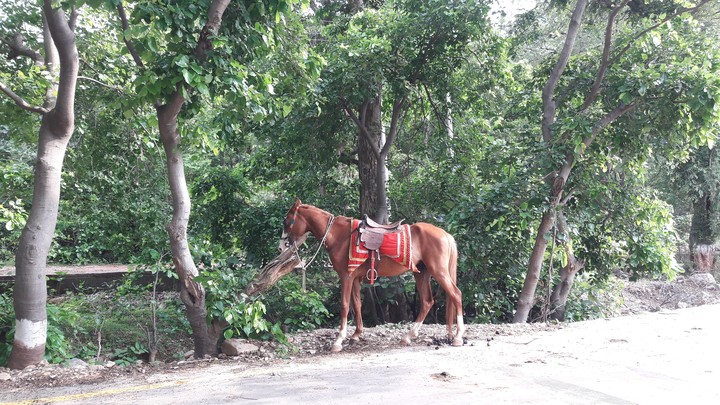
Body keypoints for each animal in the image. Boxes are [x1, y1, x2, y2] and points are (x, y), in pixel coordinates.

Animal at [265, 199, 465, 352]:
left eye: (286, 220)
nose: (280, 247)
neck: (339, 236)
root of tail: (445, 234)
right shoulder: (355, 278)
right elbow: (357, 304)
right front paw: (356, 335)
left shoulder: (346, 276)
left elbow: (345, 305)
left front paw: (339, 340)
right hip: (422, 273)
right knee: (427, 302)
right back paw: (409, 336)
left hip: (439, 271)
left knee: (456, 295)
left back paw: (458, 337)